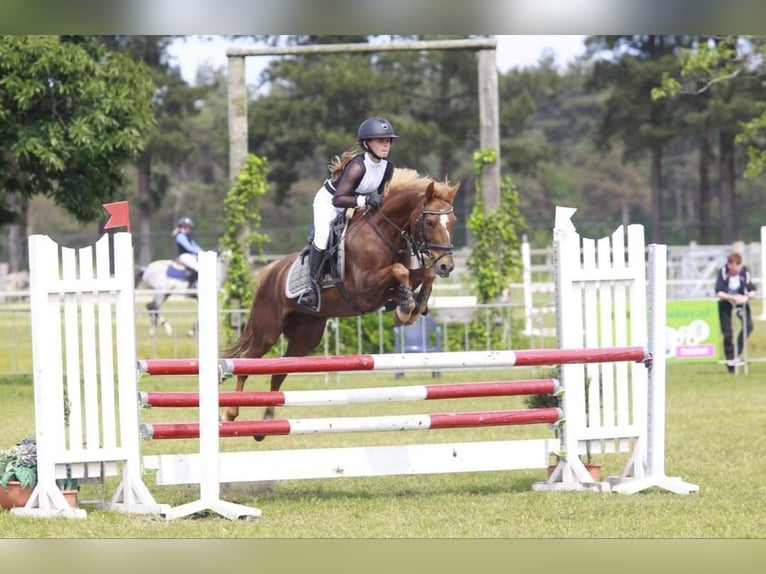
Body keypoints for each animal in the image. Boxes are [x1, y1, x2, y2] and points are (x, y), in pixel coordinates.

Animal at [222, 169, 462, 438]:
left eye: (452, 222)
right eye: (430, 223)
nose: (447, 266)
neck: (384, 234)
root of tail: (269, 271)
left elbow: (422, 274)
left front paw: (413, 304)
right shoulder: (364, 288)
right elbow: (399, 271)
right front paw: (406, 308)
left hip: (306, 336)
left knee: (280, 370)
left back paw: (267, 423)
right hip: (267, 331)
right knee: (246, 361)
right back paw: (230, 414)